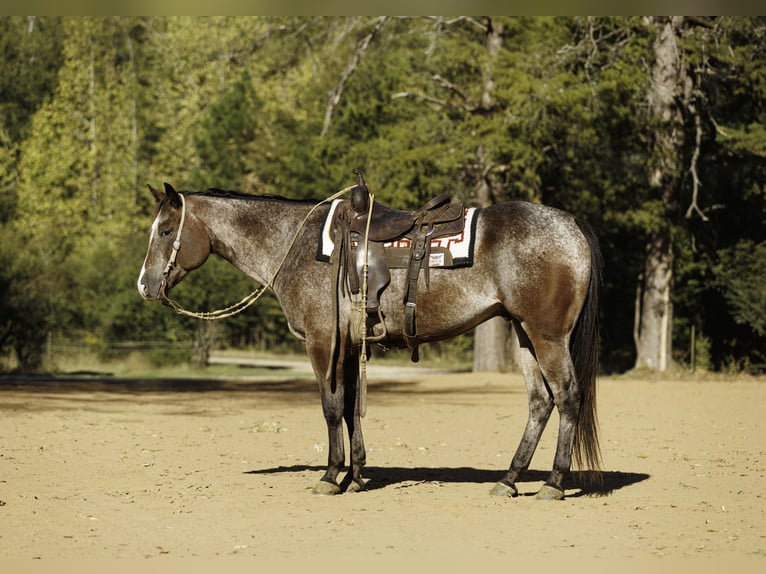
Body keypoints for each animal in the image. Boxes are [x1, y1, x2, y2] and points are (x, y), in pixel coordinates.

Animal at [137, 180, 603, 500]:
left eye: (165, 230)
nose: (145, 286)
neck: (296, 245)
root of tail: (570, 223)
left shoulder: (322, 342)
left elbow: (330, 407)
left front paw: (330, 476)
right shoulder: (346, 345)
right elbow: (348, 406)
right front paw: (355, 475)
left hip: (547, 336)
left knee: (567, 397)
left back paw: (553, 483)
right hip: (524, 334)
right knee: (540, 403)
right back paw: (508, 480)